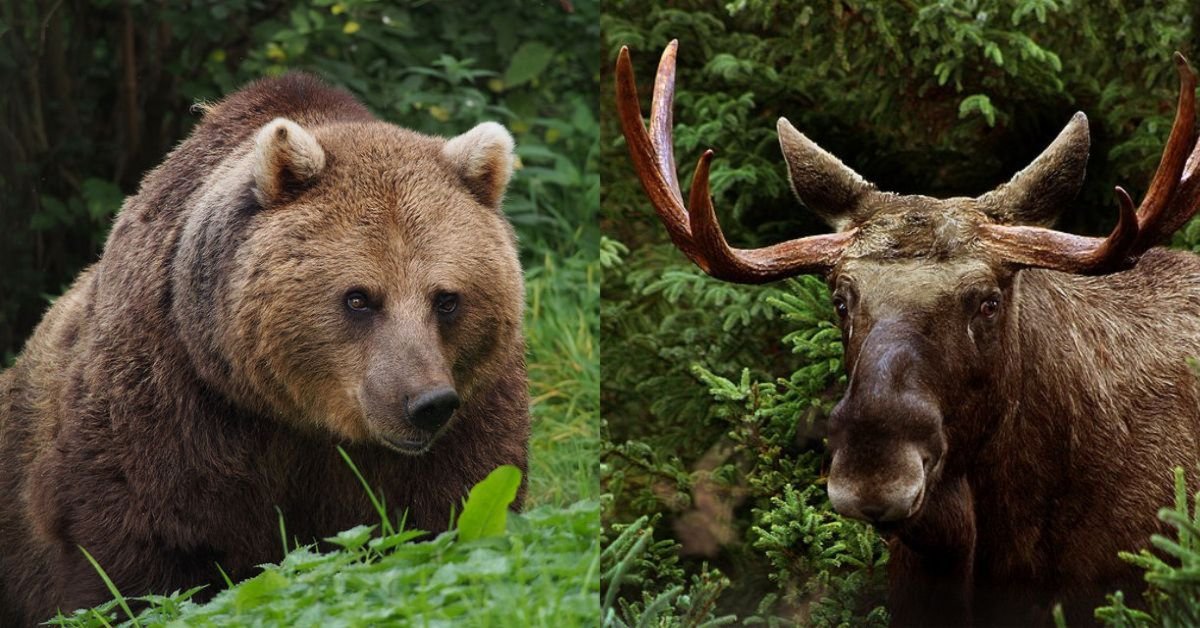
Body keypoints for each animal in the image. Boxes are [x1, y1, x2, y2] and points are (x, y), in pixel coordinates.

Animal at [0, 73, 530, 624]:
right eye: (359, 297)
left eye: (446, 298)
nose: (425, 403)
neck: (298, 417)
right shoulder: (171, 403)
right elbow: (135, 555)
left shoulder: (472, 407)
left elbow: (452, 507)